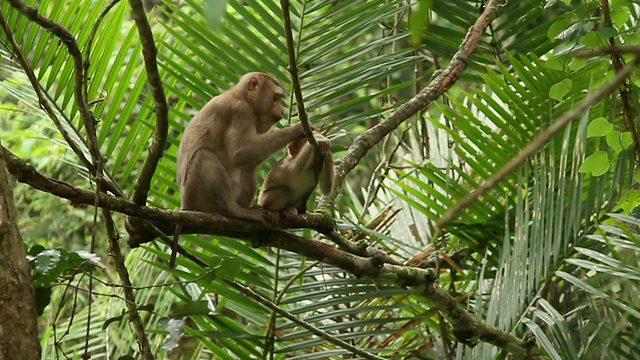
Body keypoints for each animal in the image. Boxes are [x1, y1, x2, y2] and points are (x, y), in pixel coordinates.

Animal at [171, 71, 306, 268]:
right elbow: (240, 153)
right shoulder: (239, 112)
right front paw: (297, 129)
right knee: (204, 156)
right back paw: (234, 211)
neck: (241, 97)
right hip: (197, 196)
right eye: (275, 98)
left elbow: (250, 159)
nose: (281, 112)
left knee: (248, 167)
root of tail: (185, 206)